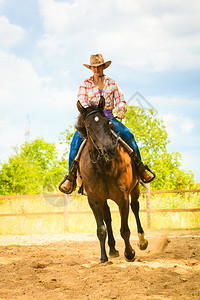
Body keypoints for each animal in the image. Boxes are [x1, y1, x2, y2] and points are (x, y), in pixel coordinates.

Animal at [76, 96, 148, 262]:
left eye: (107, 123)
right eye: (88, 127)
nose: (109, 149)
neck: (104, 167)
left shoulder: (123, 198)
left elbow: (125, 229)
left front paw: (130, 253)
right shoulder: (94, 200)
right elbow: (101, 229)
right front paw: (103, 258)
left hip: (134, 189)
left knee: (135, 208)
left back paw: (142, 241)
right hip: (104, 199)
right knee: (108, 217)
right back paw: (113, 249)